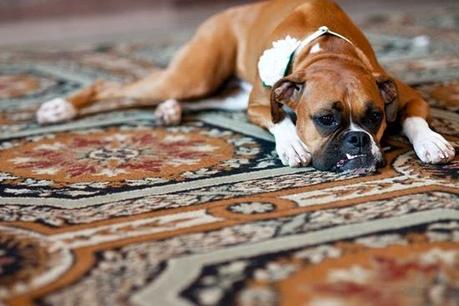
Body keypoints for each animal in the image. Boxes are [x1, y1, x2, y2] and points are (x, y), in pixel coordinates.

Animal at [36, 0, 456, 172]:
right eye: (325, 120)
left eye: (374, 118)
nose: (358, 139)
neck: (329, 53)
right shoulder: (260, 102)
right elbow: (280, 119)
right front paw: (292, 146)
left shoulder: (406, 93)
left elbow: (415, 118)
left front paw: (432, 142)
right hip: (195, 76)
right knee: (107, 84)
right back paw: (59, 107)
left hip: (225, 94)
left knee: (200, 101)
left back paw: (169, 110)